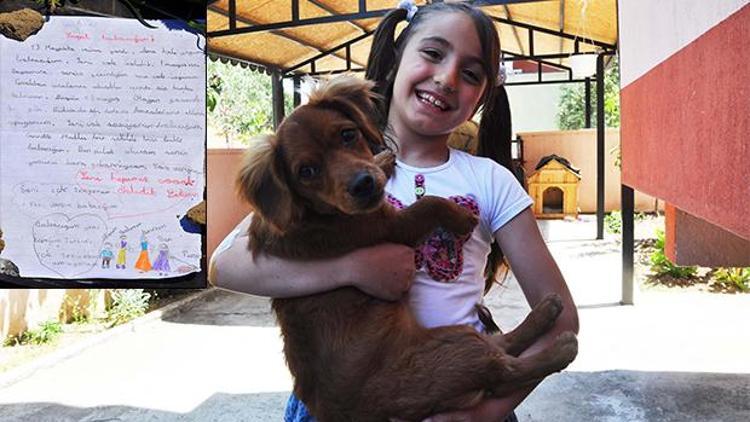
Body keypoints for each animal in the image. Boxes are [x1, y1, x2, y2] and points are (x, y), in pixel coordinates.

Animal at [238, 76, 580, 422]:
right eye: (306, 171)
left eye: (348, 135)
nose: (363, 184)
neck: (311, 212)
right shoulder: (389, 227)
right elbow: (428, 205)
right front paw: (461, 217)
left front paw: (384, 160)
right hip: (454, 352)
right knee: (505, 370)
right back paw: (561, 345)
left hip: (452, 339)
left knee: (503, 350)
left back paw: (547, 313)